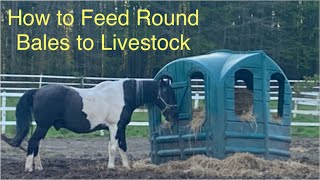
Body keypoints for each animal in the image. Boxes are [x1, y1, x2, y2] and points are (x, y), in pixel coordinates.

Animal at [1, 79, 178, 172]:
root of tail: (37, 91)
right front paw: (111, 167)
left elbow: (123, 147)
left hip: (43, 127)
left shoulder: (121, 128)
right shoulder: (114, 127)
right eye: (167, 92)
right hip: (43, 126)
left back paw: (38, 167)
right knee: (32, 143)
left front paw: (126, 167)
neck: (123, 95)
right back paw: (29, 169)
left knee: (36, 144)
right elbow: (112, 148)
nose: (174, 113)